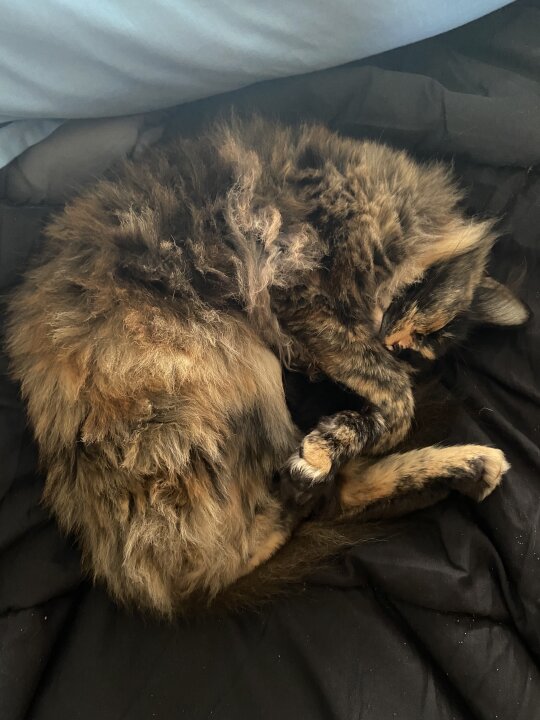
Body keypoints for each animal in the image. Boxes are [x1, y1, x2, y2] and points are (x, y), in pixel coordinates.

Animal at [6, 116, 529, 616]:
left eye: (418, 345)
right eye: (416, 324)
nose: (393, 340)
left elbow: (391, 392)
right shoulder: (305, 302)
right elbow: (399, 396)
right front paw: (357, 427)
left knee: (326, 498)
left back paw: (469, 467)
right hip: (239, 359)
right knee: (293, 513)